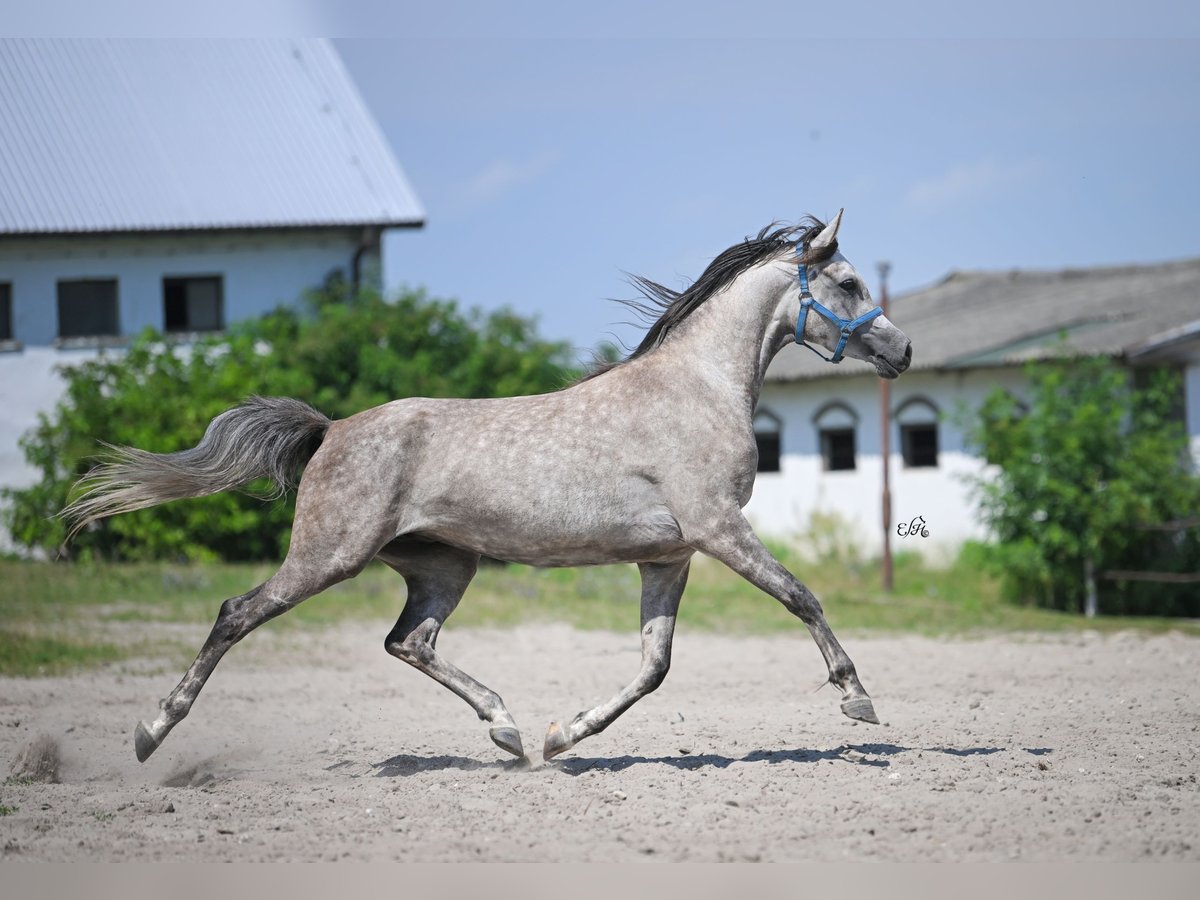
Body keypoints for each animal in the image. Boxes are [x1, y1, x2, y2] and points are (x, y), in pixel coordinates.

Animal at [63, 210, 907, 763]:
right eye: (847, 280)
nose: (900, 350)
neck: (698, 388)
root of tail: (331, 430)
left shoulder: (670, 555)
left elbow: (654, 665)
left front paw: (565, 735)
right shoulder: (719, 529)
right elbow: (801, 597)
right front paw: (857, 698)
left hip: (444, 564)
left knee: (407, 640)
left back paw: (506, 727)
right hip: (328, 557)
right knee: (236, 615)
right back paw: (151, 732)